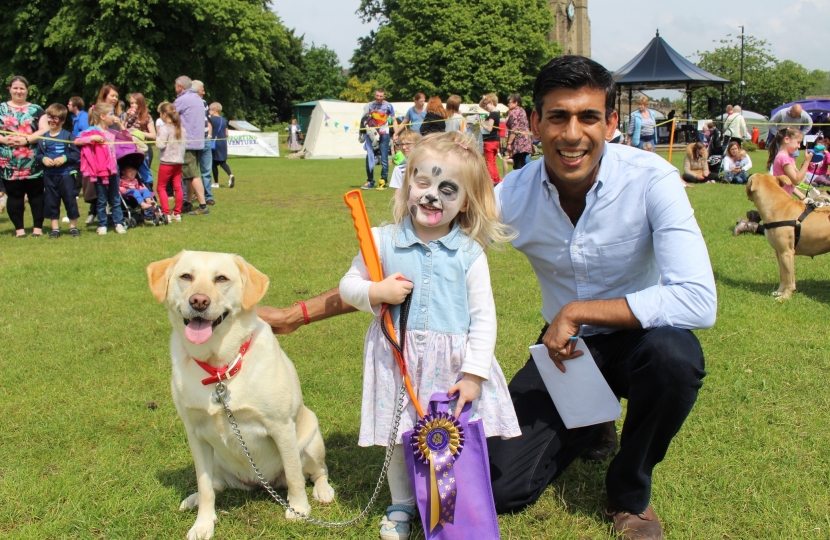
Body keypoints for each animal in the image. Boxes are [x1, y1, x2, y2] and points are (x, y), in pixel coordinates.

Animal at [148, 251, 336, 536]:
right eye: (186, 276)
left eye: (221, 278)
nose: (199, 301)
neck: (219, 367)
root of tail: (259, 482)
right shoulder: (195, 434)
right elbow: (204, 485)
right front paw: (203, 524)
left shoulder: (281, 426)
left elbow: (294, 475)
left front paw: (299, 510)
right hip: (218, 461)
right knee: (216, 484)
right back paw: (192, 499)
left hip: (311, 441)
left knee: (316, 471)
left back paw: (323, 491)